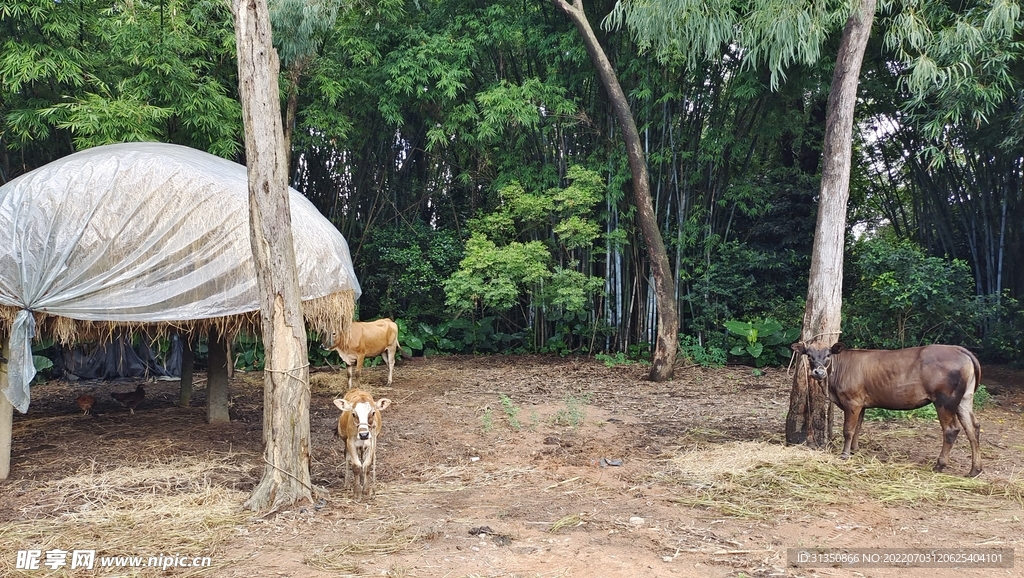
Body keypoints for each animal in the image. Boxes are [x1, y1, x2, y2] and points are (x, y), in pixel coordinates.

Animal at [790, 340, 983, 475]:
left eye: (828, 355)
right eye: (809, 355)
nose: (818, 372)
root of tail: (960, 350)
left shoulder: (852, 401)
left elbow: (848, 430)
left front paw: (845, 454)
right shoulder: (862, 404)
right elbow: (858, 428)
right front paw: (854, 450)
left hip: (944, 399)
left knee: (951, 429)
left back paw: (939, 465)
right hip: (964, 399)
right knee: (973, 427)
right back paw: (975, 470)